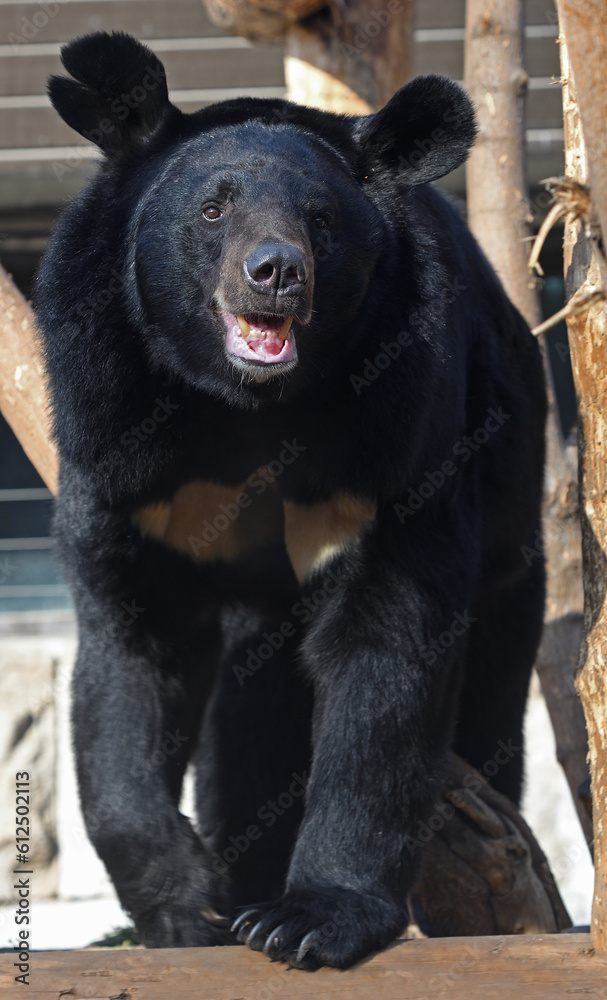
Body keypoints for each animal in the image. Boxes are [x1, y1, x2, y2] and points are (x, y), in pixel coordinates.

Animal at [35, 31, 546, 970]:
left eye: (320, 220)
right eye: (211, 209)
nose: (274, 273)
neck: (244, 403)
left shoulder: (397, 441)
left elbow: (385, 655)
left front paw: (305, 921)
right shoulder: (119, 450)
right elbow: (129, 660)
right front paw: (184, 908)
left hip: (514, 531)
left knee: (491, 701)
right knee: (247, 734)